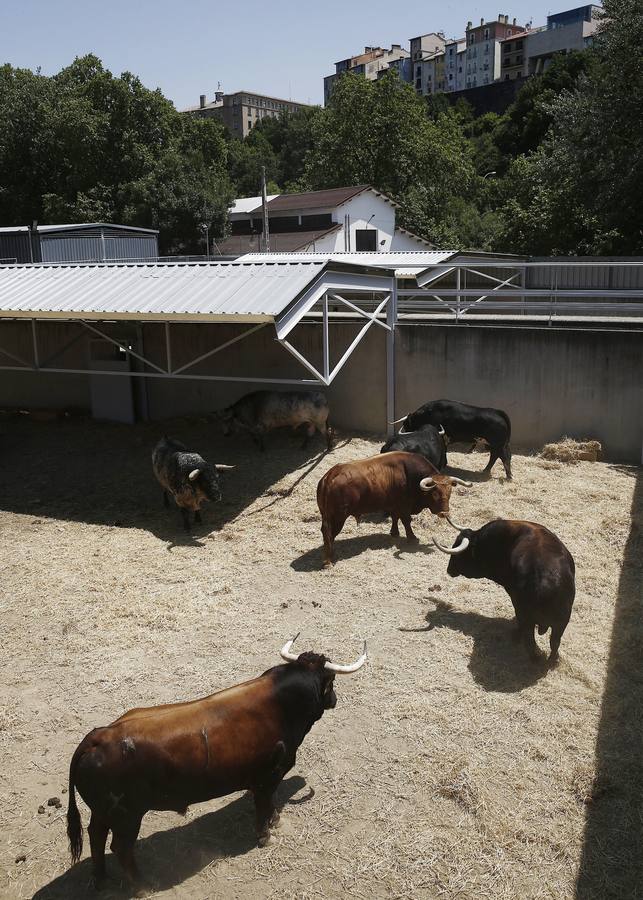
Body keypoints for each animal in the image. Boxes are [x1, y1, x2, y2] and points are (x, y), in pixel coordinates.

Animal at [68, 640, 368, 884]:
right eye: (331, 681)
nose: (334, 700)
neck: (282, 705)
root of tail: (97, 737)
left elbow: (270, 804)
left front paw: (276, 821)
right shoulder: (267, 778)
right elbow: (263, 806)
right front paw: (265, 835)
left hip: (104, 812)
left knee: (95, 835)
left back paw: (100, 876)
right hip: (127, 816)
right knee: (120, 847)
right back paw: (142, 884)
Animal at [318, 450, 472, 568]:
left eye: (449, 492)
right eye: (434, 493)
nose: (444, 512)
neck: (411, 476)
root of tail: (330, 475)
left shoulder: (394, 505)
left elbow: (395, 518)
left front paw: (394, 533)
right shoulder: (404, 506)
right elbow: (406, 521)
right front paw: (412, 537)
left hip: (327, 515)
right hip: (338, 517)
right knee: (329, 533)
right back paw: (328, 561)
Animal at [432, 520, 580, 660]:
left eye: (459, 554)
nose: (449, 570)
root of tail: (546, 582)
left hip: (529, 617)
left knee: (530, 640)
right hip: (562, 621)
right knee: (554, 642)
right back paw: (552, 660)